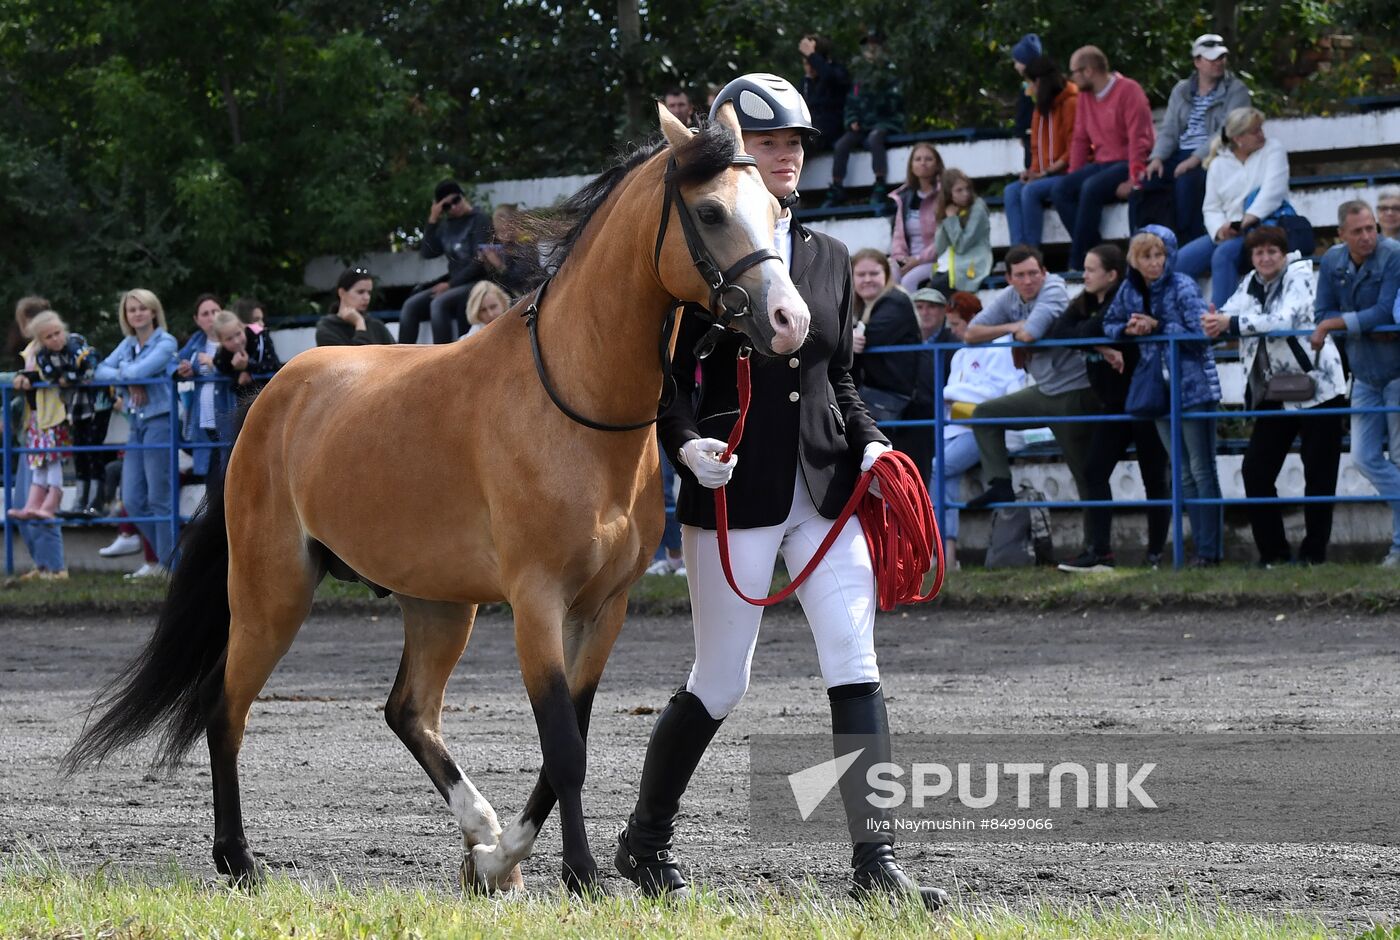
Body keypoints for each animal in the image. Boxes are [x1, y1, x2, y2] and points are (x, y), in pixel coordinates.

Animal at [65, 105, 812, 896]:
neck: (574, 405)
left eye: (777, 210)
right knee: (225, 705)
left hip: (438, 603)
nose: (790, 321)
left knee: (408, 711)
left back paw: (479, 832)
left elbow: (568, 739)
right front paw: (579, 873)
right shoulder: (537, 601)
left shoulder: (605, 607)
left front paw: (501, 859)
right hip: (274, 590)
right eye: (711, 211)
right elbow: (564, 747)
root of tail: (273, 393)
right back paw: (238, 858)